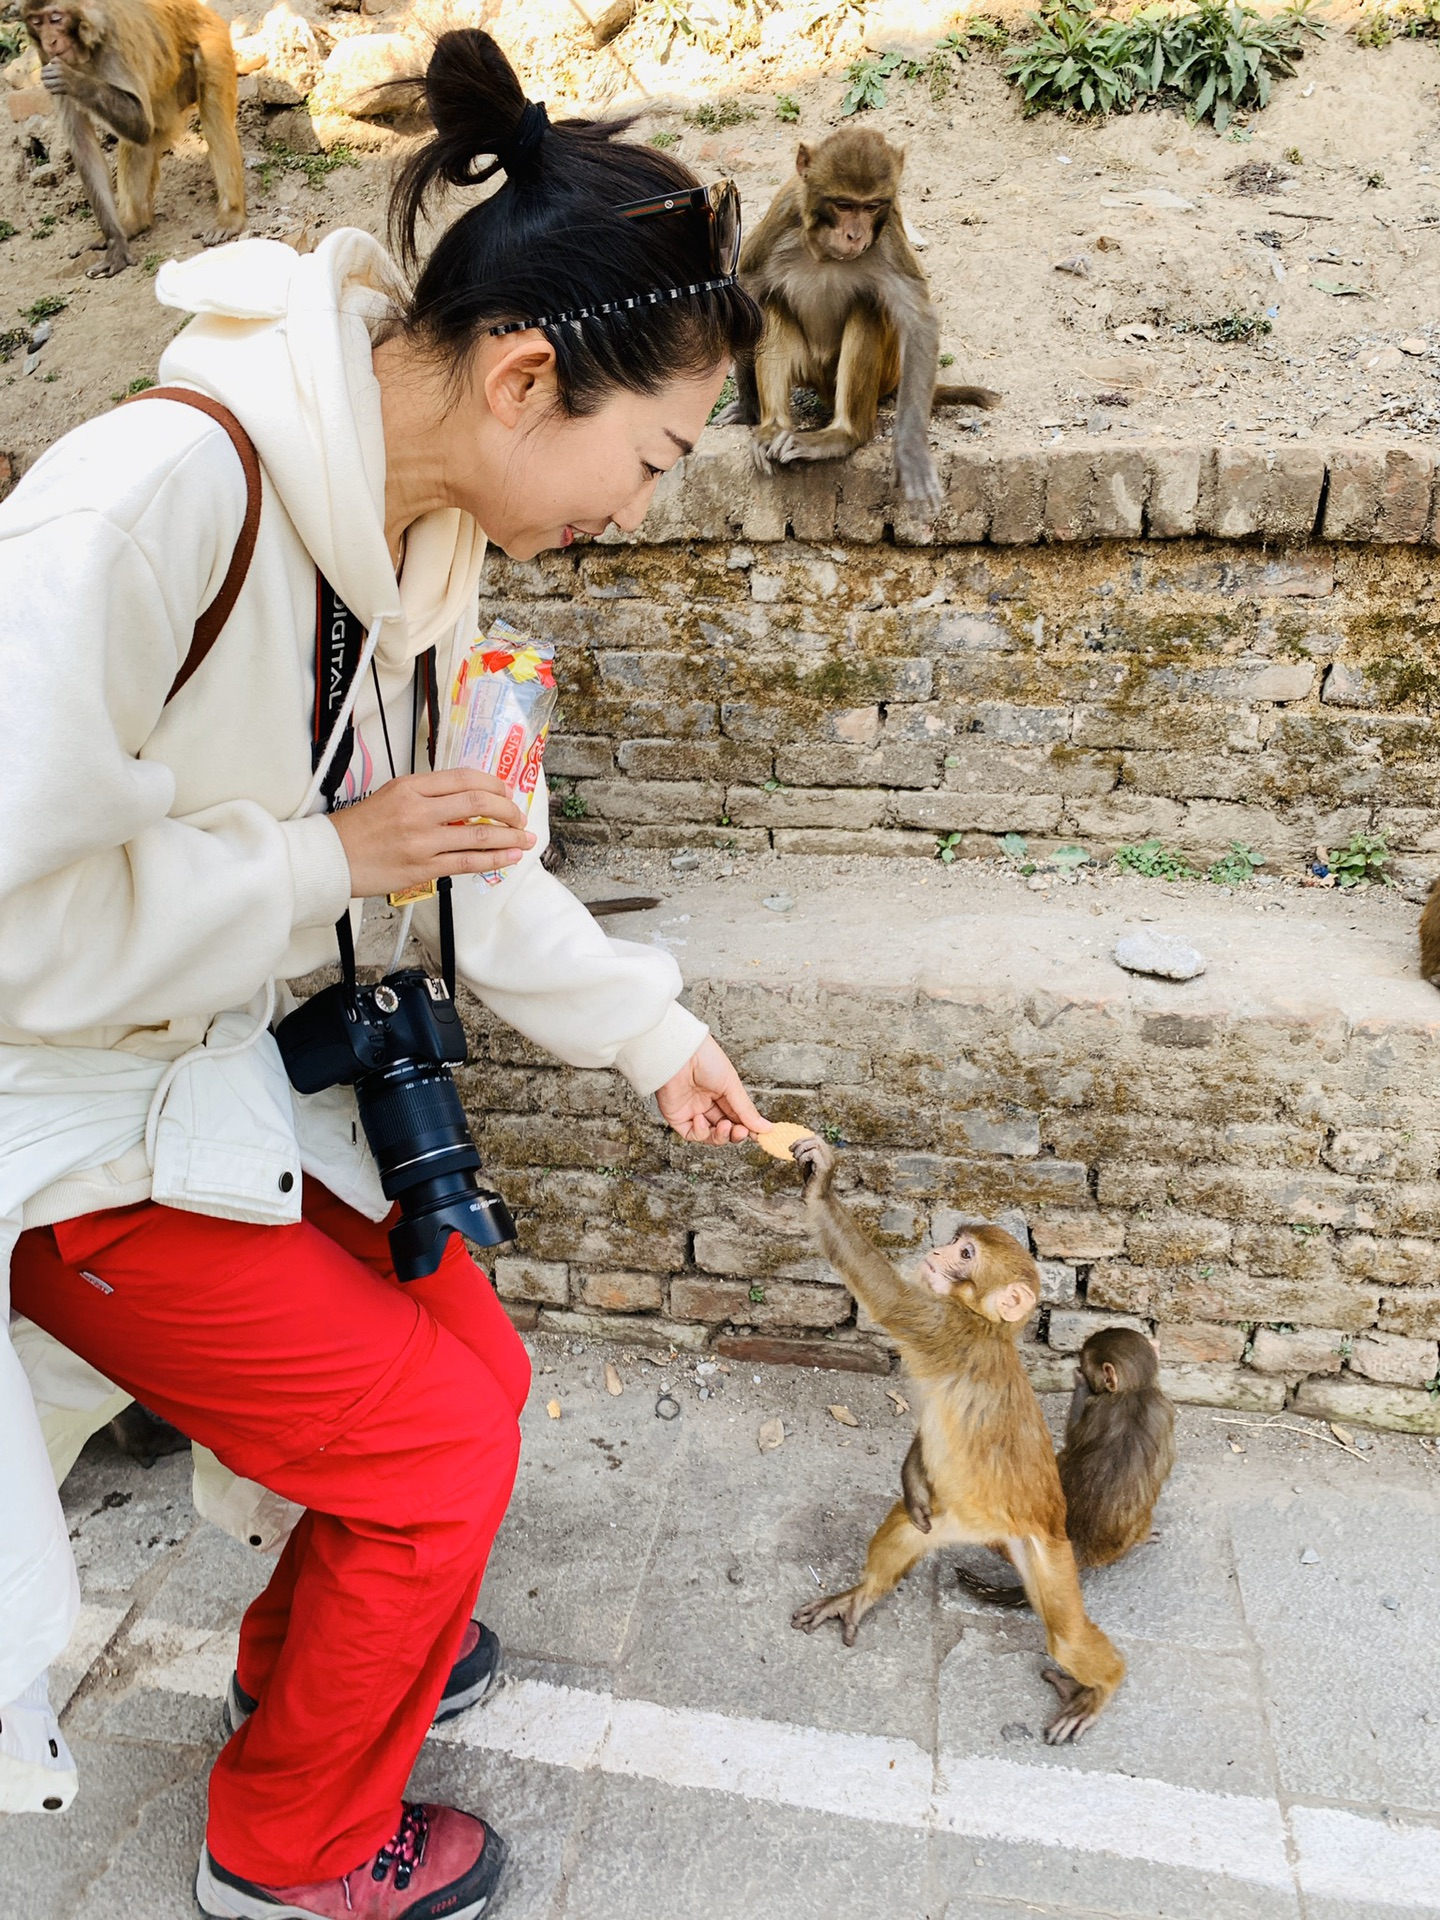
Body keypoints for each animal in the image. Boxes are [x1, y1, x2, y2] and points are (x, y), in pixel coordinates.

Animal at [23, 0, 245, 280]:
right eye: (37, 22)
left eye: (55, 18)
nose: (50, 40)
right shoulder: (46, 59)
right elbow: (85, 144)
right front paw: (116, 242)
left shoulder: (113, 44)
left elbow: (139, 123)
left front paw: (74, 81)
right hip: (168, 96)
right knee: (144, 139)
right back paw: (133, 223)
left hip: (212, 42)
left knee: (213, 116)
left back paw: (231, 216)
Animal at [733, 131, 1006, 514]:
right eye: (844, 205)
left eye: (872, 206)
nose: (855, 235)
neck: (824, 251)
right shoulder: (780, 221)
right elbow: (749, 292)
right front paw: (746, 408)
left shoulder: (889, 234)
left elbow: (918, 321)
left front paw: (910, 450)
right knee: (774, 303)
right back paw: (773, 428)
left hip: (881, 377)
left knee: (868, 304)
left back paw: (844, 435)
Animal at [791, 1128, 1128, 1751]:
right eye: (954, 1241)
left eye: (965, 1255)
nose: (938, 1253)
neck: (985, 1323)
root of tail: (1024, 1528)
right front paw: (911, 1475)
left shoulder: (942, 1326)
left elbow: (886, 1296)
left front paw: (820, 1186)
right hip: (958, 1523)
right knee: (907, 1526)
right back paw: (864, 1592)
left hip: (1048, 1555)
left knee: (1067, 1638)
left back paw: (1103, 1686)